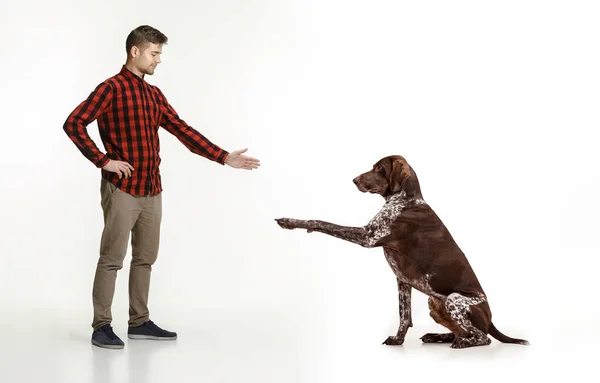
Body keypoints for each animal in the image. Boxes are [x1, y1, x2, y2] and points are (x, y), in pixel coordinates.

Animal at [274, 154, 528, 350]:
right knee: (462, 331)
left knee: (481, 338)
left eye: (379, 168)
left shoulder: (368, 236)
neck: (406, 199)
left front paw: (291, 222)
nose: (354, 180)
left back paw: (462, 343)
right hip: (435, 304)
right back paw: (438, 336)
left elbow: (322, 222)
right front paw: (398, 340)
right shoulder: (403, 281)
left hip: (454, 300)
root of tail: (491, 320)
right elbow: (404, 316)